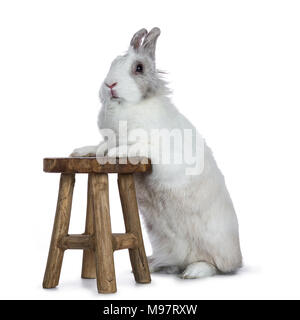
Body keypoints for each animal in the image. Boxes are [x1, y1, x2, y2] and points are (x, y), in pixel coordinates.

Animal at [72, 27, 241, 278]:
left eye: (138, 68)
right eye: (113, 63)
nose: (110, 84)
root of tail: (238, 259)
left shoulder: (148, 145)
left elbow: (128, 147)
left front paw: (111, 153)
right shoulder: (110, 137)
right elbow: (100, 144)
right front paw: (82, 151)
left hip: (212, 248)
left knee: (213, 266)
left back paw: (193, 272)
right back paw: (154, 265)